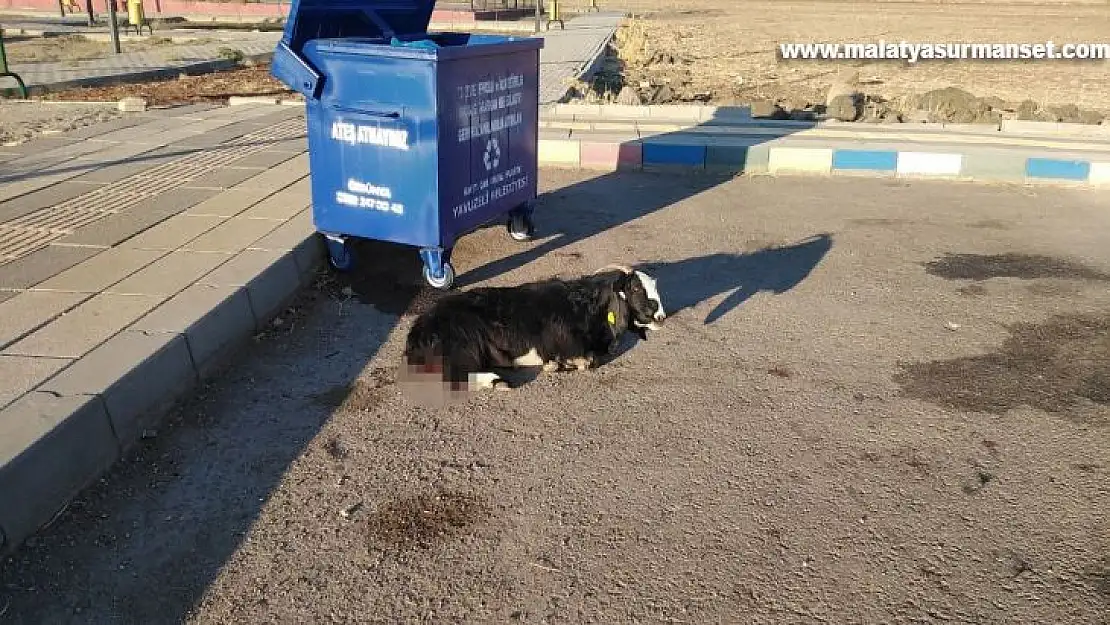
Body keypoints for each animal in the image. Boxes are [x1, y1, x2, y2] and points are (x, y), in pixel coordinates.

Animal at [408, 264, 666, 390]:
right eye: (635, 288)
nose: (660, 316)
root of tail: (420, 328)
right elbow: (588, 360)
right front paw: (561, 364)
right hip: (463, 345)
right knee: (453, 375)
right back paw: (497, 382)